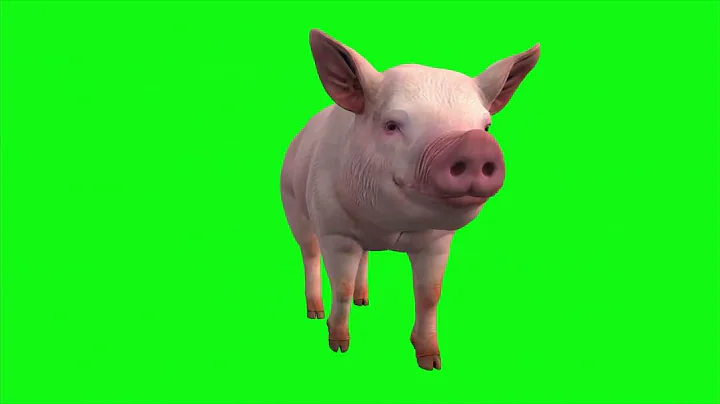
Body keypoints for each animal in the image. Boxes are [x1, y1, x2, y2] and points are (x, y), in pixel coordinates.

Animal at [280, 29, 539, 371]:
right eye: (392, 125)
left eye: (486, 126)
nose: (476, 143)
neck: (389, 227)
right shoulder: (336, 232)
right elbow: (341, 287)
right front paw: (339, 347)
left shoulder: (438, 241)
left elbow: (430, 294)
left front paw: (431, 361)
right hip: (293, 205)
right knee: (309, 253)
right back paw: (315, 312)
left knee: (364, 258)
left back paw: (365, 301)